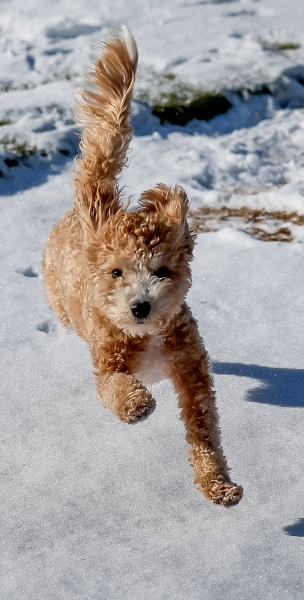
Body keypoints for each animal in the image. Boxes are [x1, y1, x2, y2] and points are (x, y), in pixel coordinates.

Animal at [42, 27, 242, 506]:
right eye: (117, 272)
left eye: (162, 272)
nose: (140, 306)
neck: (148, 337)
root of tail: (100, 211)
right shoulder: (108, 361)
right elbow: (113, 386)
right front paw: (138, 404)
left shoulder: (191, 369)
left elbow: (204, 429)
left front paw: (218, 483)